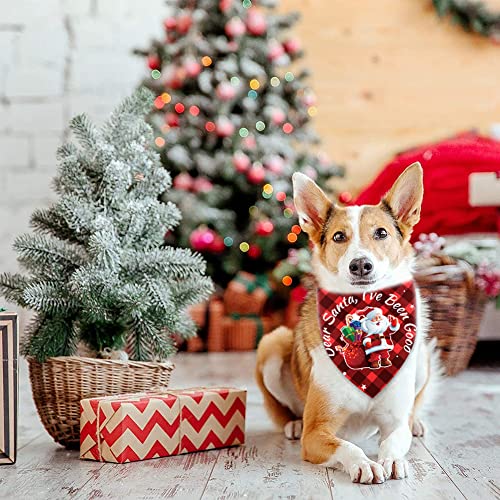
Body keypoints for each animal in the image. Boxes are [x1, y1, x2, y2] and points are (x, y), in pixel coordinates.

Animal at [256, 163, 440, 484]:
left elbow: (394, 439)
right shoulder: (316, 433)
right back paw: (293, 423)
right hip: (273, 343)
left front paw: (392, 459)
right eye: (339, 237)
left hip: (422, 358)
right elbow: (347, 445)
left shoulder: (395, 422)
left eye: (381, 233)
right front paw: (364, 463)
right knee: (284, 411)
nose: (360, 265)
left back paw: (417, 423)